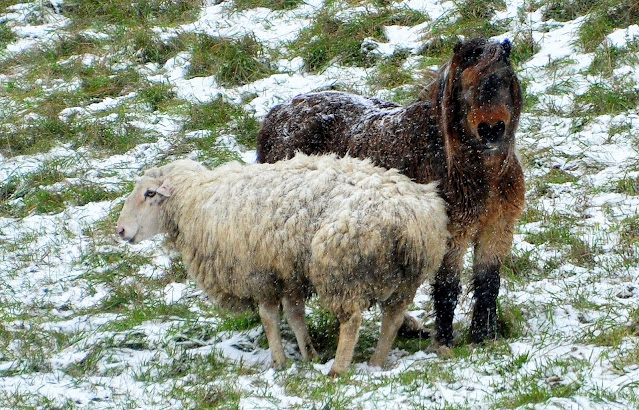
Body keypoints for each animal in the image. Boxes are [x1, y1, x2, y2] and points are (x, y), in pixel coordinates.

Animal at [116, 153, 448, 375]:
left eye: (149, 193)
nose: (119, 230)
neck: (197, 202)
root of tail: (410, 218)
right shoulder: (287, 273)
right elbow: (295, 315)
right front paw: (309, 354)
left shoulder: (259, 273)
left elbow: (268, 318)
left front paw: (279, 360)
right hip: (406, 277)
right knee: (393, 318)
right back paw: (376, 362)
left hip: (342, 269)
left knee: (352, 320)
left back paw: (338, 370)